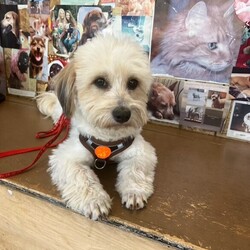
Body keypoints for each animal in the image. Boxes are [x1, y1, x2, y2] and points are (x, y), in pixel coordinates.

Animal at [36, 34, 157, 219]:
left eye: (133, 83)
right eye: (100, 81)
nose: (123, 114)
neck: (107, 136)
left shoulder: (142, 151)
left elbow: (136, 169)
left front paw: (134, 191)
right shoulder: (65, 157)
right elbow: (81, 176)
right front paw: (95, 200)